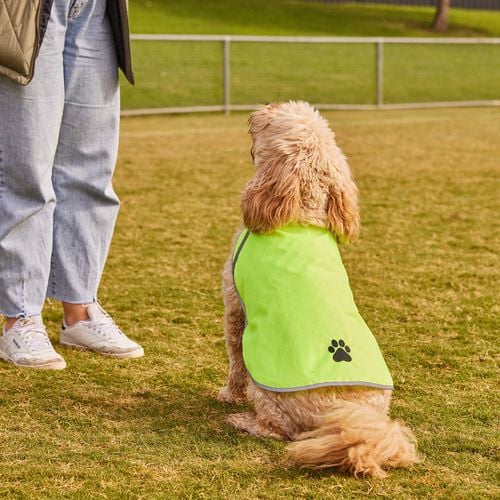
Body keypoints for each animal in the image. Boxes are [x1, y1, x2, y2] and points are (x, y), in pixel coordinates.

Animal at [219, 100, 418, 476]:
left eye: (275, 122)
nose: (265, 106)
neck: (300, 216)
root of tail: (343, 418)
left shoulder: (235, 309)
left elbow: (235, 359)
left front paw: (227, 395)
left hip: (267, 393)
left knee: (276, 429)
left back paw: (242, 421)